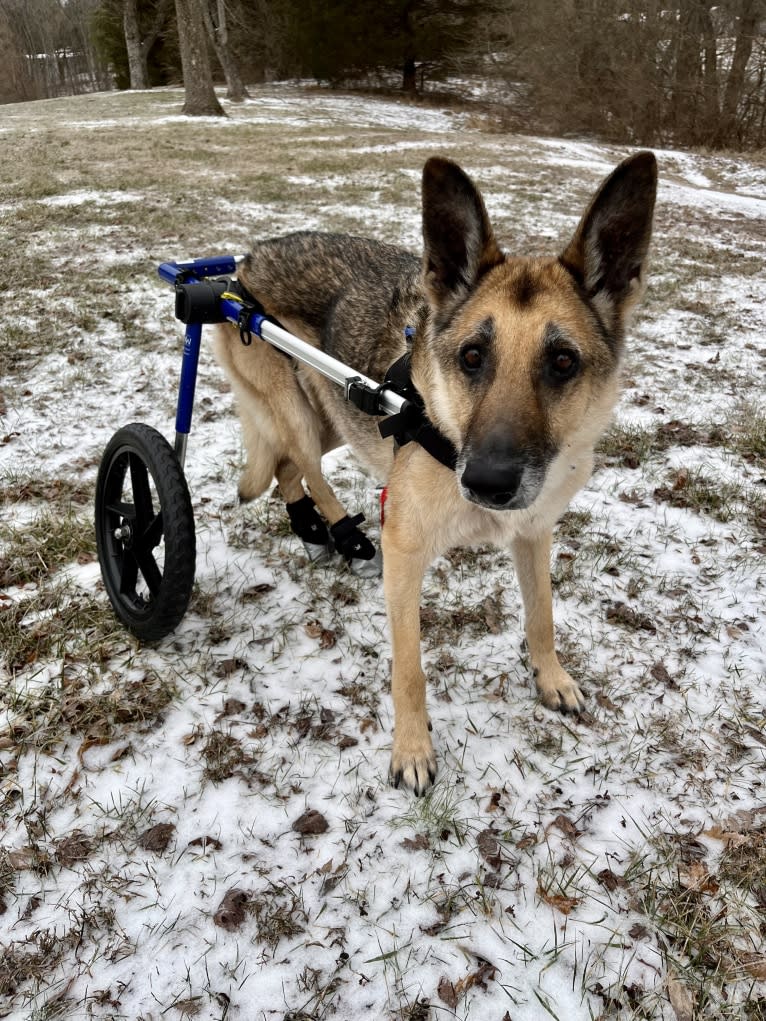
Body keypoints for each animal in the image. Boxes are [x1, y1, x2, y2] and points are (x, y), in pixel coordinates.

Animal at [214, 151, 661, 792]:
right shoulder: (404, 558)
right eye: (472, 357)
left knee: (285, 468)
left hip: (336, 412)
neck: (444, 427)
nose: (488, 483)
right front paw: (412, 749)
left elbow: (542, 616)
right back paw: (340, 531)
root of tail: (246, 261)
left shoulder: (533, 535)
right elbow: (409, 669)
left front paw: (550, 679)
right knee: (297, 465)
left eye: (562, 362)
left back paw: (316, 530)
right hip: (298, 411)